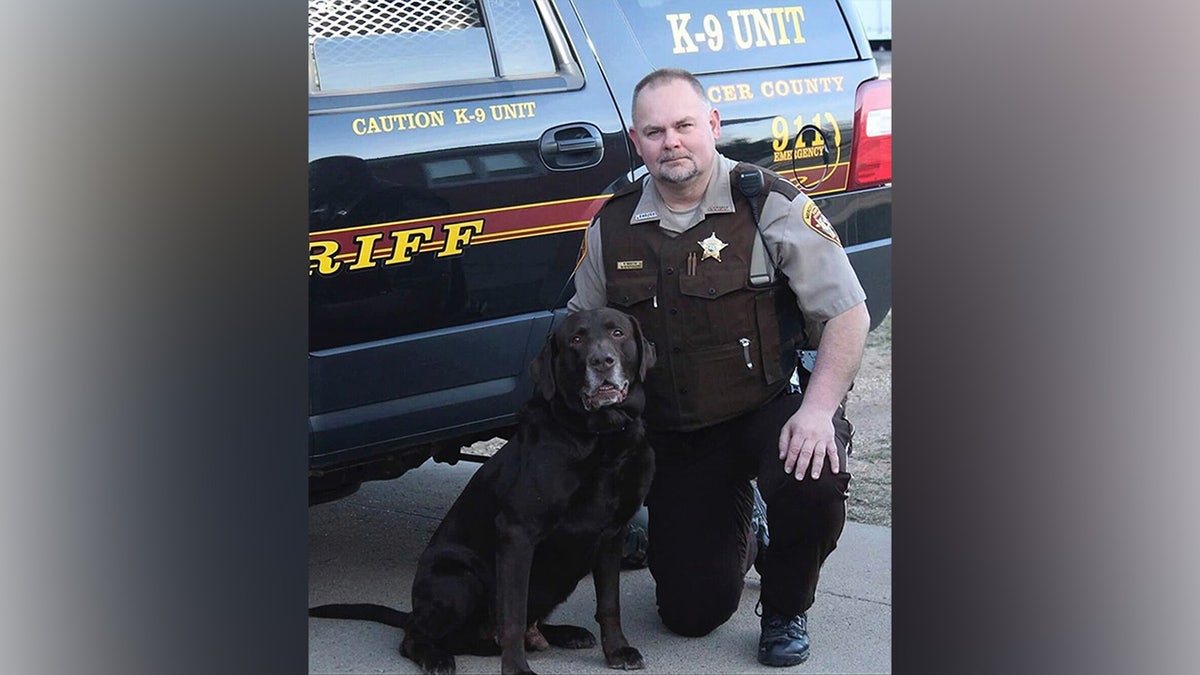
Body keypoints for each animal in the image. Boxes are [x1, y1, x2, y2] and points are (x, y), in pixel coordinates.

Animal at [309, 306, 657, 672]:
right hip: (461, 579)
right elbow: (512, 615)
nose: (602, 361)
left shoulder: (612, 534)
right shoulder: (518, 533)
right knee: (416, 636)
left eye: (618, 333)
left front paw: (617, 651)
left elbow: (610, 604)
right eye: (576, 339)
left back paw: (564, 632)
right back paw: (436, 656)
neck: (599, 439)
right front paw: (516, 669)